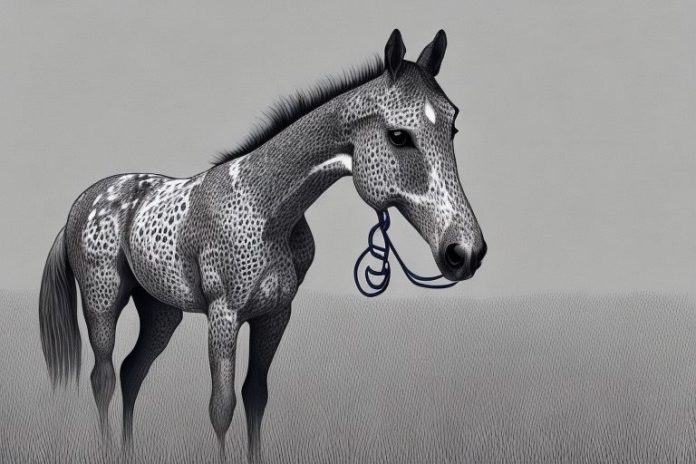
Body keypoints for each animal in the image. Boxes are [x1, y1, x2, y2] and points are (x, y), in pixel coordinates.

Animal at [38, 29, 487, 462]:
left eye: (453, 127)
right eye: (398, 136)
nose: (465, 252)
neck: (265, 206)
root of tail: (83, 203)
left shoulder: (274, 315)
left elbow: (256, 397)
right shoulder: (224, 315)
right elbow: (221, 408)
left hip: (161, 309)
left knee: (133, 371)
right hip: (102, 302)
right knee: (103, 378)